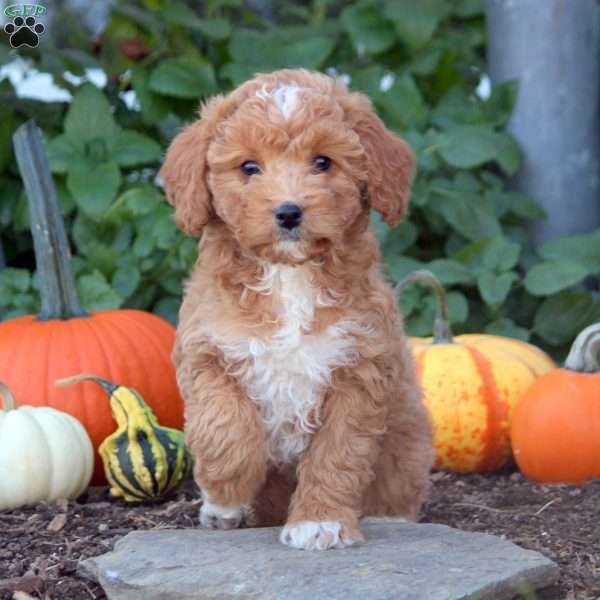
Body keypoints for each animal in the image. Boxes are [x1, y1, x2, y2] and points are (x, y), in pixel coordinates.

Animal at [159, 68, 432, 552]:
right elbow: (225, 429)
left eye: (322, 162)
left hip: (407, 441)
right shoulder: (207, 351)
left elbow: (337, 455)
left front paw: (321, 522)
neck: (289, 277)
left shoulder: (358, 368)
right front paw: (225, 497)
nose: (288, 212)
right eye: (249, 167)